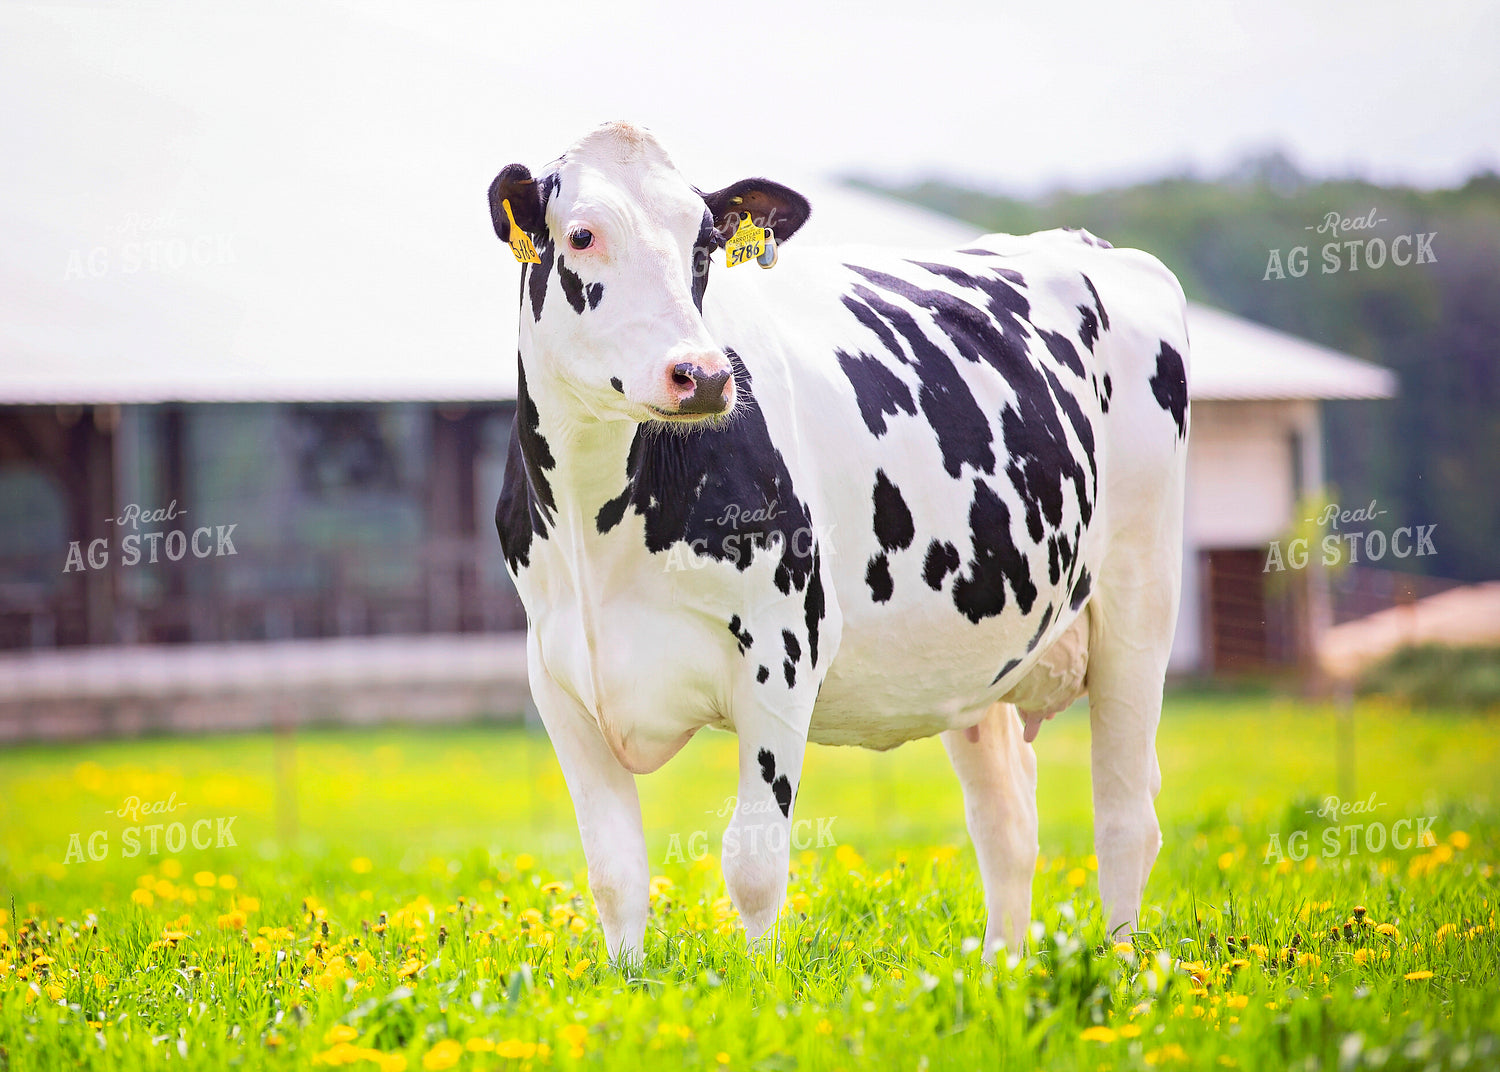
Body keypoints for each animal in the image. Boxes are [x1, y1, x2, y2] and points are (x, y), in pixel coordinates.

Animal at [487, 121, 1189, 967]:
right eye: (582, 235)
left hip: (1140, 597)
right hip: (977, 648)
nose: (703, 375)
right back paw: (1000, 970)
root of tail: (1088, 243)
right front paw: (627, 982)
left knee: (1126, 815)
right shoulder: (557, 674)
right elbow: (615, 870)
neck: (601, 531)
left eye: (704, 244)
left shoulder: (783, 647)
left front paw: (758, 985)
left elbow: (753, 862)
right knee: (1007, 826)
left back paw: (1125, 971)